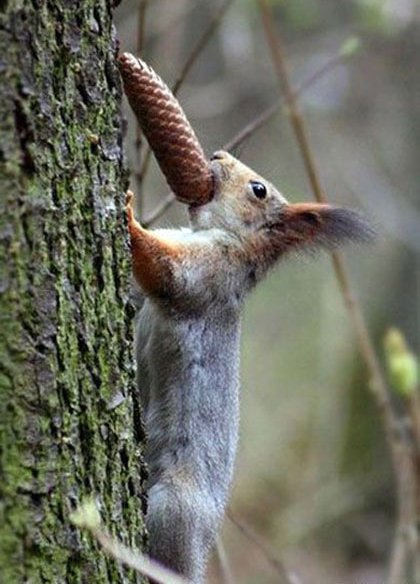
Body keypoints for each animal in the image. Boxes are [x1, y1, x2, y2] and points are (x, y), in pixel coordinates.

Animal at [125, 149, 374, 580]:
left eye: (259, 190)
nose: (217, 154)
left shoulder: (209, 273)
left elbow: (164, 269)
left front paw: (127, 215)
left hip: (173, 511)